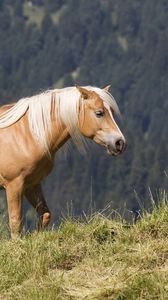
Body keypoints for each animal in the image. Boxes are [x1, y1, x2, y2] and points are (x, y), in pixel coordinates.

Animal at [0, 85, 126, 238]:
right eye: (99, 113)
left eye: (111, 112)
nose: (120, 143)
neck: (29, 133)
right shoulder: (14, 185)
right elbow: (16, 222)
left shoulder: (32, 184)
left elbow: (45, 214)